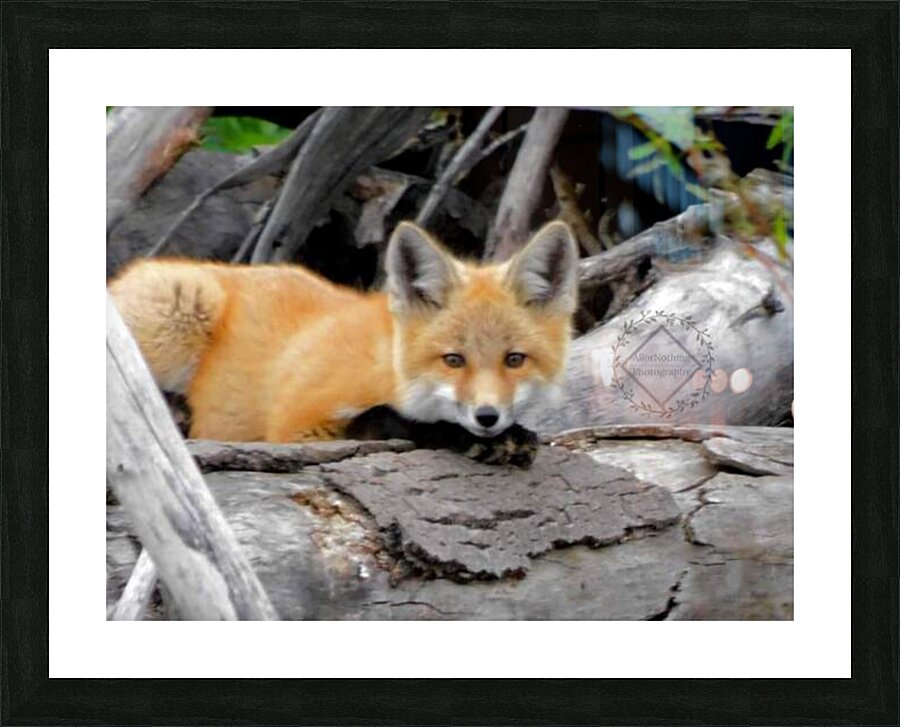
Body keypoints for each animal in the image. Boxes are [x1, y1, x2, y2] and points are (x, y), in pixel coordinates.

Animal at [109, 220, 579, 465]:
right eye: (453, 359)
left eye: (514, 359)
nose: (487, 417)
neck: (391, 373)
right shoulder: (297, 429)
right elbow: (384, 418)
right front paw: (457, 435)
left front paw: (511, 434)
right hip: (182, 308)